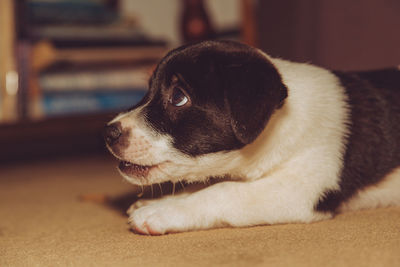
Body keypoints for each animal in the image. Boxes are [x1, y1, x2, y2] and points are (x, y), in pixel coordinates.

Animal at [104, 40, 400, 237]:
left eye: (178, 97)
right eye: (149, 89)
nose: (109, 133)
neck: (282, 122)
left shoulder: (299, 190)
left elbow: (225, 190)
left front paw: (162, 212)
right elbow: (209, 184)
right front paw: (162, 201)